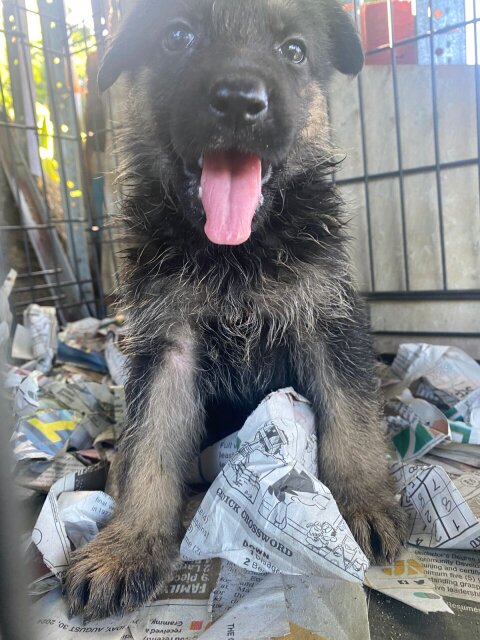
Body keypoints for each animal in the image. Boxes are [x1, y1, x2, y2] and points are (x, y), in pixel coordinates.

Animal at [64, 0, 404, 620]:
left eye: (294, 51)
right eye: (177, 37)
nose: (241, 101)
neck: (236, 251)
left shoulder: (328, 320)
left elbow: (351, 418)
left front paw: (364, 501)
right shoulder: (166, 346)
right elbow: (148, 446)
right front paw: (128, 544)